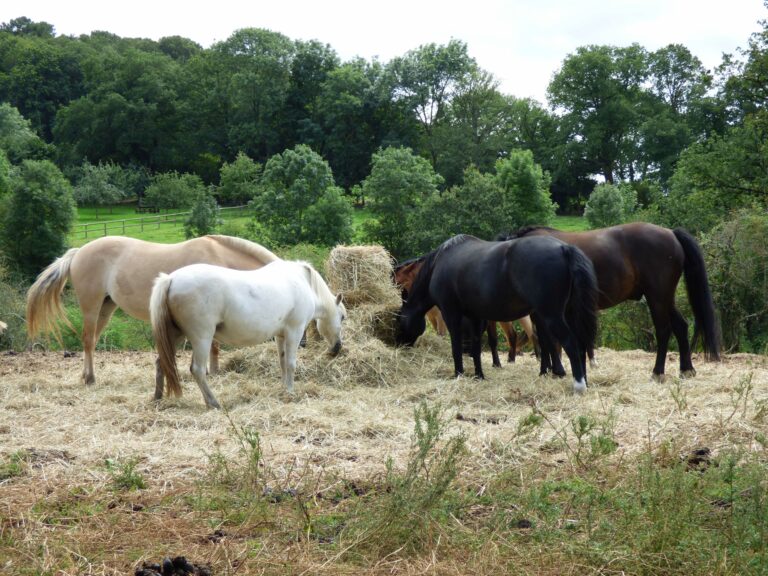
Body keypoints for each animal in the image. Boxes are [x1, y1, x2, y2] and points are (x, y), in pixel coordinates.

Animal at [26, 232, 280, 394]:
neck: (220, 258)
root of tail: (79, 252)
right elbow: (213, 346)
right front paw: (212, 372)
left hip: (106, 308)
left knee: (93, 341)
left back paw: (86, 375)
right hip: (91, 305)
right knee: (88, 340)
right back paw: (90, 379)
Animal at [149, 258, 344, 408]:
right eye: (342, 317)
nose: (337, 348)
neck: (303, 283)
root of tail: (171, 279)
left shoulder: (281, 336)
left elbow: (282, 363)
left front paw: (283, 388)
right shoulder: (294, 332)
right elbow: (290, 364)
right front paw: (290, 391)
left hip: (175, 336)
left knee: (161, 363)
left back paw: (157, 398)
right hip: (202, 338)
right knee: (197, 370)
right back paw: (213, 402)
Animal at [392, 258, 536, 364]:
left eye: (396, 281)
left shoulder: (442, 317)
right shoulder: (432, 318)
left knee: (530, 333)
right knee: (513, 335)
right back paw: (511, 359)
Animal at [498, 220, 720, 378]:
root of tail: (670, 232)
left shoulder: (545, 312)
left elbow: (548, 341)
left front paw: (554, 371)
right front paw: (548, 370)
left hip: (656, 297)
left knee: (664, 331)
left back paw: (658, 372)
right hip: (665, 298)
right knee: (681, 326)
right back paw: (686, 369)